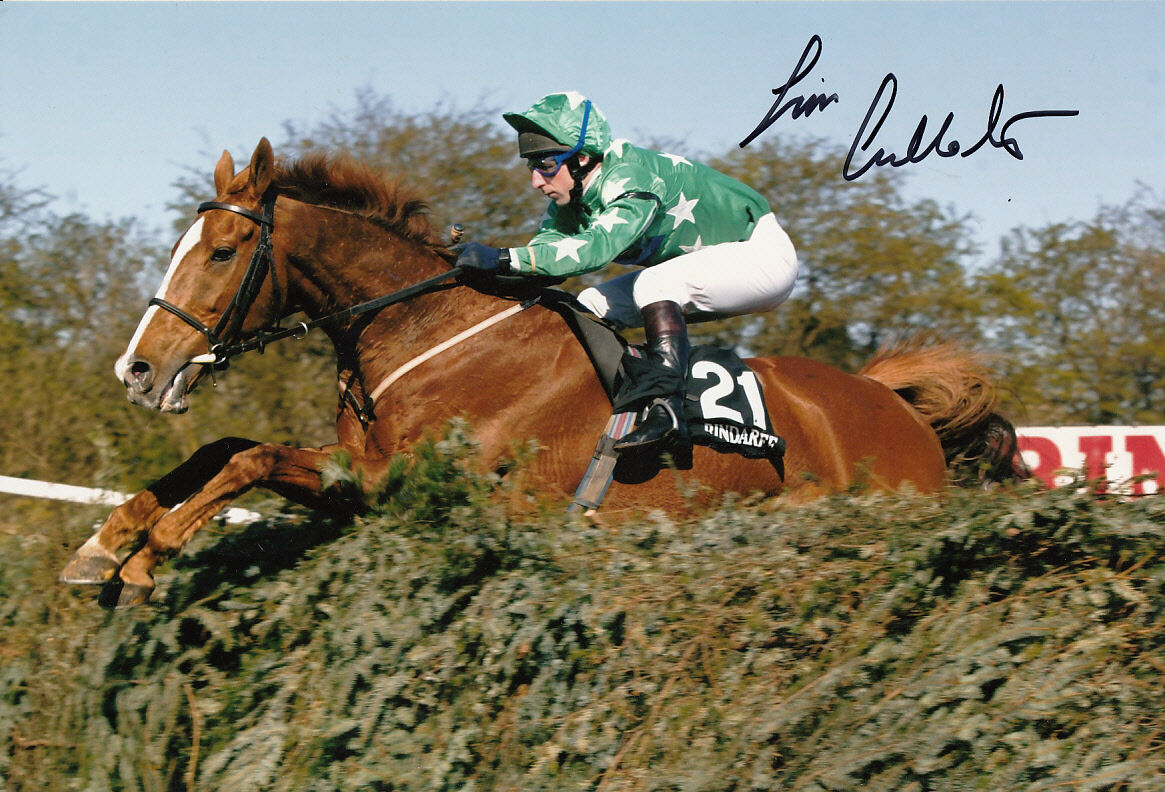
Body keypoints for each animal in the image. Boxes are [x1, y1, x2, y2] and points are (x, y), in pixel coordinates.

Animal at [66, 137, 1020, 605]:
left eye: (223, 252)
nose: (137, 369)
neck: (427, 328)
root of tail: (895, 406)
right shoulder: (358, 476)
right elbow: (225, 449)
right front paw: (105, 541)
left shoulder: (402, 483)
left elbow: (248, 459)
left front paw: (154, 550)